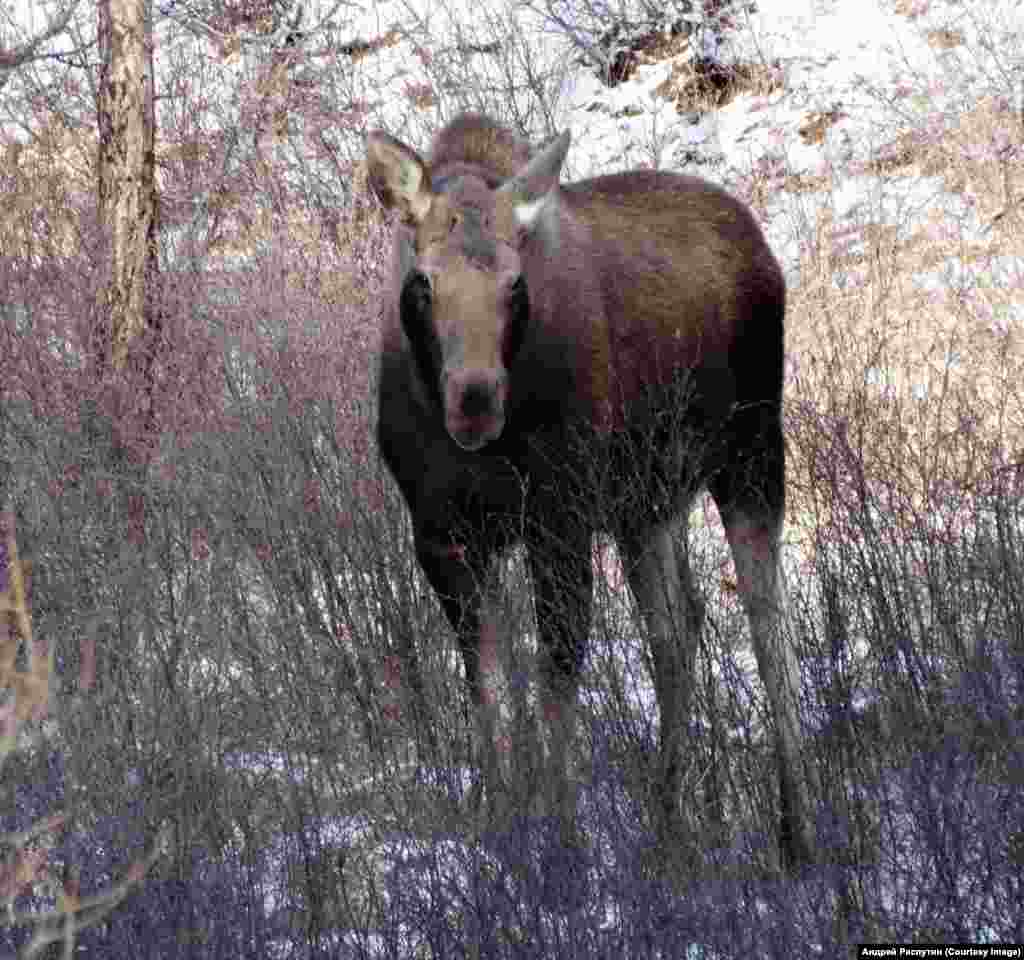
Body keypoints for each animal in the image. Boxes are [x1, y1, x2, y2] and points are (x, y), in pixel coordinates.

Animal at [368, 114, 815, 867]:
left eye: (516, 285)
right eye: (423, 281)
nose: (475, 401)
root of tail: (760, 245)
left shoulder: (560, 519)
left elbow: (555, 682)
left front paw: (565, 850)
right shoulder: (442, 538)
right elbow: (489, 689)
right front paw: (505, 837)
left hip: (752, 451)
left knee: (766, 618)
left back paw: (796, 830)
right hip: (648, 505)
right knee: (677, 627)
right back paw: (668, 824)